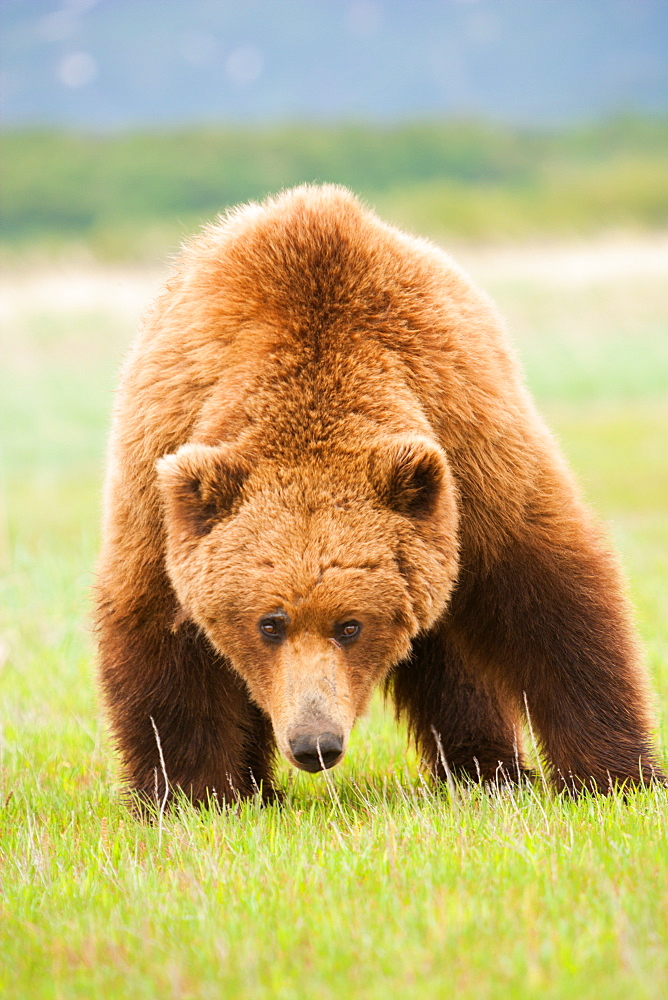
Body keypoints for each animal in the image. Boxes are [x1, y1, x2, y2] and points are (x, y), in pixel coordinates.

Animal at [94, 182, 664, 804]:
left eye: (351, 625)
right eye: (270, 622)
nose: (315, 744)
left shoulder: (469, 443)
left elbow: (552, 600)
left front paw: (616, 776)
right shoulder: (166, 464)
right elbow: (160, 632)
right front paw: (191, 793)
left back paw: (486, 771)